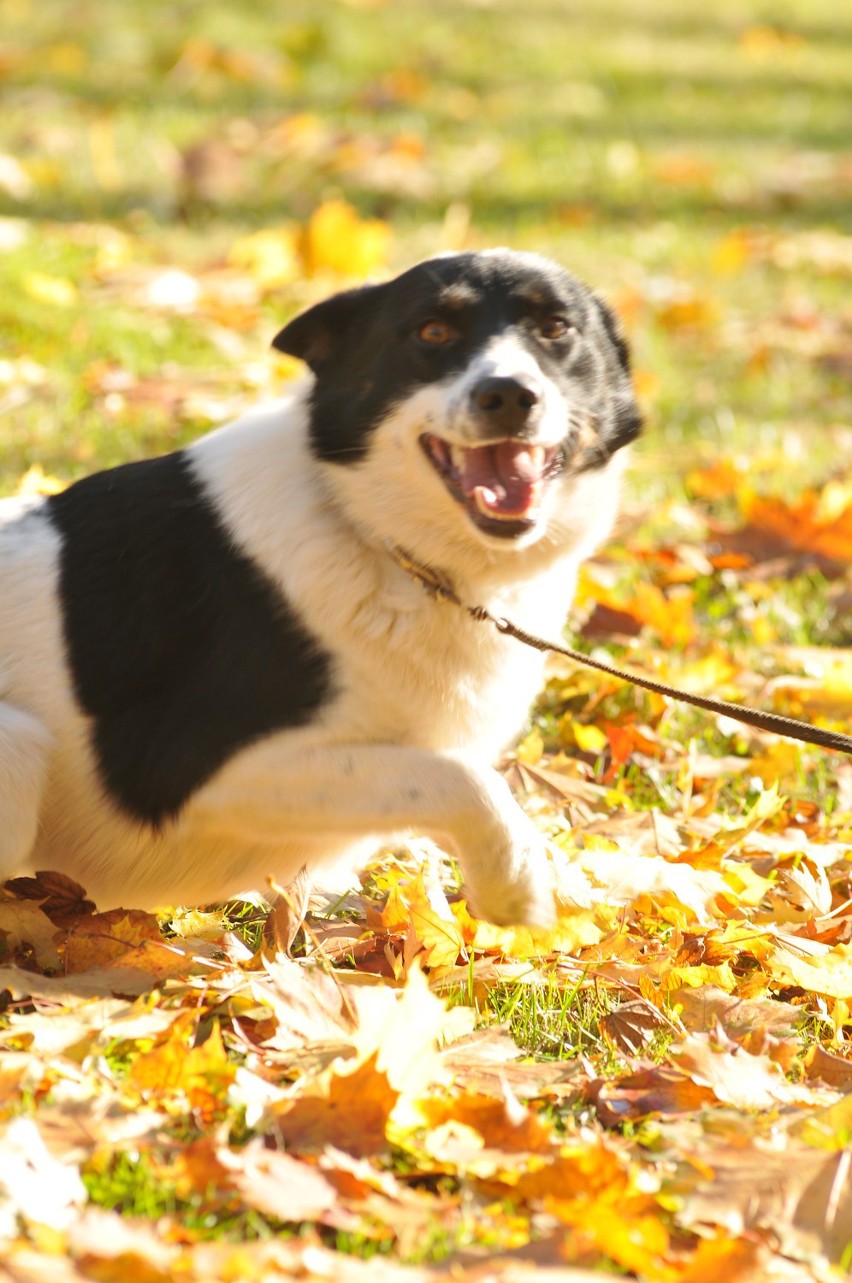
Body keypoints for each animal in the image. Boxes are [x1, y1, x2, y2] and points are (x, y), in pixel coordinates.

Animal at [0, 247, 639, 923]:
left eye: (555, 328)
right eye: (433, 332)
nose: (510, 395)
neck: (377, 537)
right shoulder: (189, 771)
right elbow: (463, 781)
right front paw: (516, 890)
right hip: (20, 752)